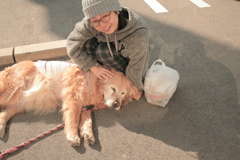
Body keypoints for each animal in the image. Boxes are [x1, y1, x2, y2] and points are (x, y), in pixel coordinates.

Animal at [0, 60, 142, 146]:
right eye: (113, 89)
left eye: (123, 93)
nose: (117, 104)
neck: (92, 83)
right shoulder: (73, 99)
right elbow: (73, 119)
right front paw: (73, 136)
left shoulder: (86, 105)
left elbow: (87, 120)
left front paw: (88, 134)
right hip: (10, 91)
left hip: (18, 104)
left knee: (2, 114)